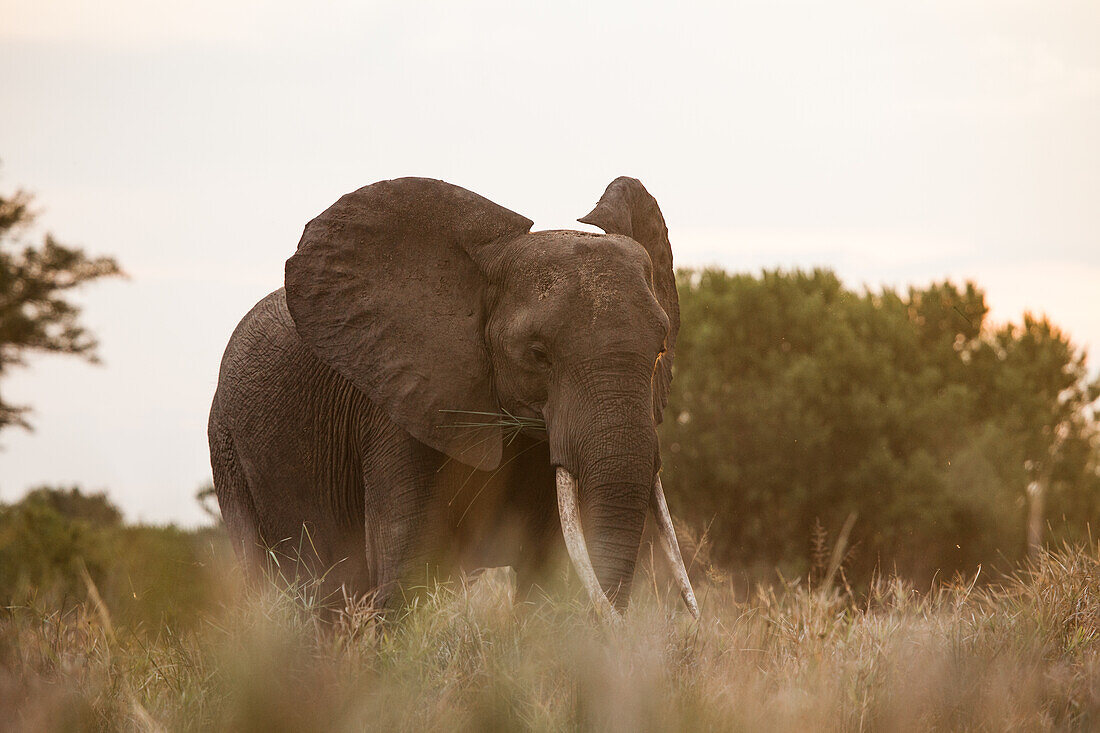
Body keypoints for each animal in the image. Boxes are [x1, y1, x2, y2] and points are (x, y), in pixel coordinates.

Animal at [207, 177, 695, 616]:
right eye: (537, 354)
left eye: (660, 351)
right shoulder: (398, 404)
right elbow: (406, 567)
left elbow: (543, 577)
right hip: (227, 449)